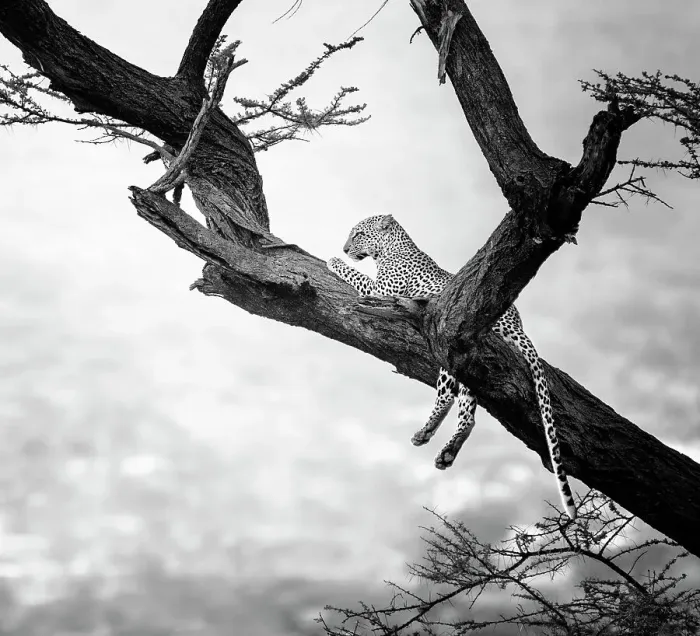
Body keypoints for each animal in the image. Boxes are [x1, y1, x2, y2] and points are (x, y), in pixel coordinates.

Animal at [327, 214, 577, 520]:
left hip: (449, 348)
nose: (344, 249)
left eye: (359, 234)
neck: (389, 249)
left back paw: (426, 431)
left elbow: (358, 276)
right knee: (468, 413)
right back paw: (446, 450)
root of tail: (517, 324)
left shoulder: (380, 292)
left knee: (447, 395)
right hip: (471, 361)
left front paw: (333, 260)